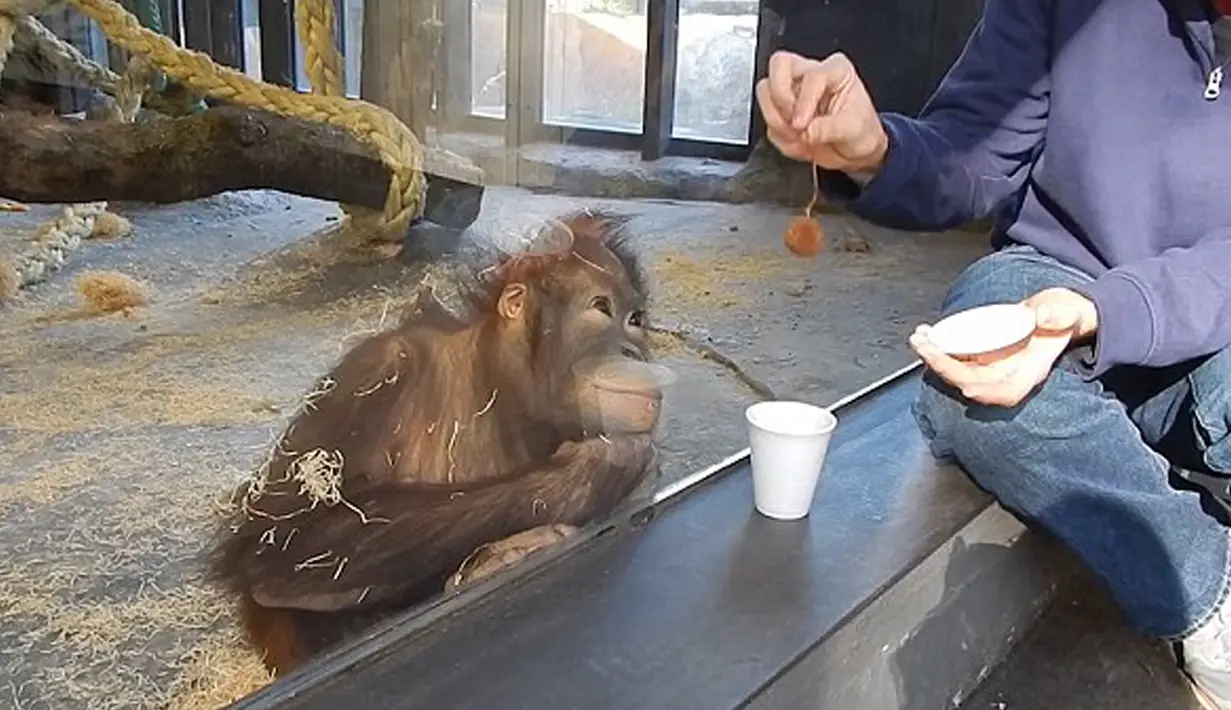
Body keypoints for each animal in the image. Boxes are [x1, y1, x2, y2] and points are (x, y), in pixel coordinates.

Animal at [207, 209, 668, 677]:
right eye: (601, 308)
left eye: (635, 321)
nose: (633, 352)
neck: (497, 385)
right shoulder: (372, 375)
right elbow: (284, 542)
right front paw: (601, 466)